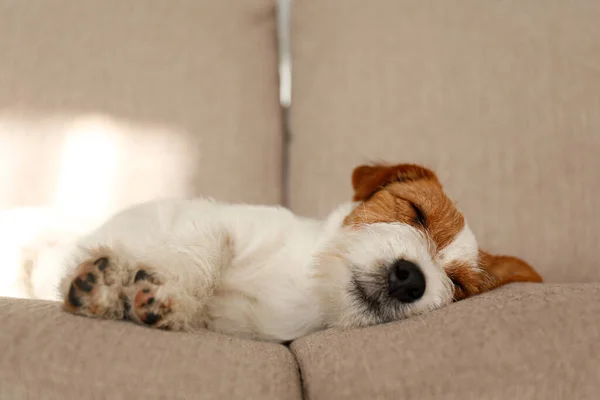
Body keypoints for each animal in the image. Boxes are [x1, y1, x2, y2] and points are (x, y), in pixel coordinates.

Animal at [58, 164, 540, 342]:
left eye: (458, 284)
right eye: (415, 211)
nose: (411, 279)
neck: (306, 285)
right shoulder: (217, 220)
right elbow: (205, 248)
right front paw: (166, 287)